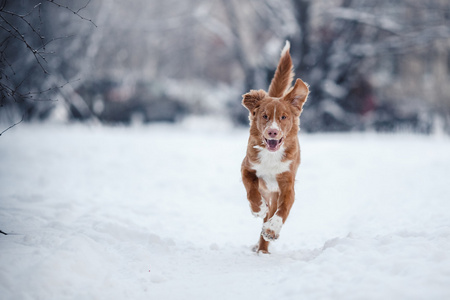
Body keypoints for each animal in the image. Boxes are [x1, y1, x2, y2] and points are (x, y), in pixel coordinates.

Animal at [239, 41, 310, 254]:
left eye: (283, 117)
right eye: (265, 116)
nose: (272, 132)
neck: (271, 156)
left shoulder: (287, 184)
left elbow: (283, 210)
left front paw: (272, 230)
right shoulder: (247, 167)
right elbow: (251, 190)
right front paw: (257, 208)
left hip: (275, 193)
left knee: (271, 214)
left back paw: (263, 247)